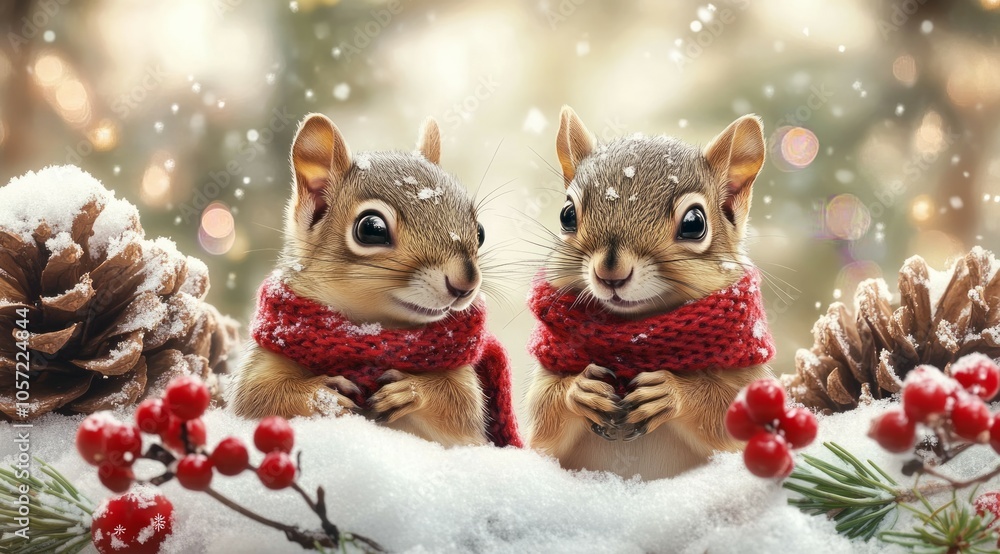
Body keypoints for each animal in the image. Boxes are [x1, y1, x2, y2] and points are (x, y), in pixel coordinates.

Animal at [230, 113, 499, 447]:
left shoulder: (461, 379)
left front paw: (409, 392)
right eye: (372, 228)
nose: (465, 284)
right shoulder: (266, 361)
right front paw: (322, 397)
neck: (368, 332)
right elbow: (258, 397)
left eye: (480, 231)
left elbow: (461, 405)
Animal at [524, 106, 775, 479]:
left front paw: (672, 393)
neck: (636, 333)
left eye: (694, 223)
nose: (610, 271)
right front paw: (579, 390)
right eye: (566, 214)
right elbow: (543, 415)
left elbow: (727, 416)